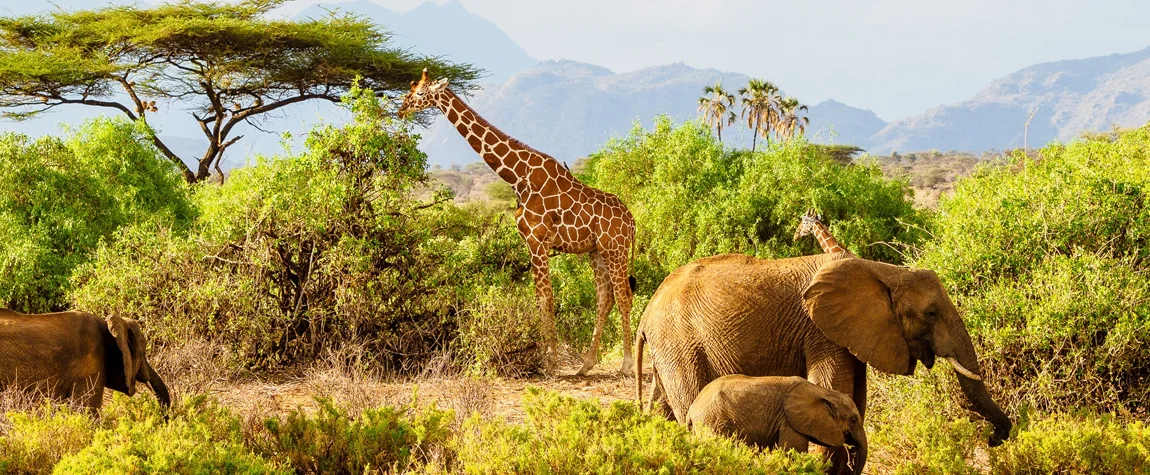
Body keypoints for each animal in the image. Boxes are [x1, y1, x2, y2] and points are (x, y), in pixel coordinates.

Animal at [400, 68, 639, 374]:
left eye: (420, 92)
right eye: (411, 89)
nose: (401, 109)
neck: (516, 177)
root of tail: (631, 220)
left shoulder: (538, 242)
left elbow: (546, 298)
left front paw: (549, 362)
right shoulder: (530, 243)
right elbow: (540, 298)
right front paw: (547, 358)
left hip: (615, 248)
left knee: (623, 295)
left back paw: (626, 364)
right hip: (596, 251)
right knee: (605, 298)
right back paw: (585, 365)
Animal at [680, 374, 864, 471]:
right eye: (853, 420)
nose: (851, 464)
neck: (823, 392)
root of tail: (691, 410)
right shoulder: (789, 421)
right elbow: (793, 451)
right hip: (712, 422)